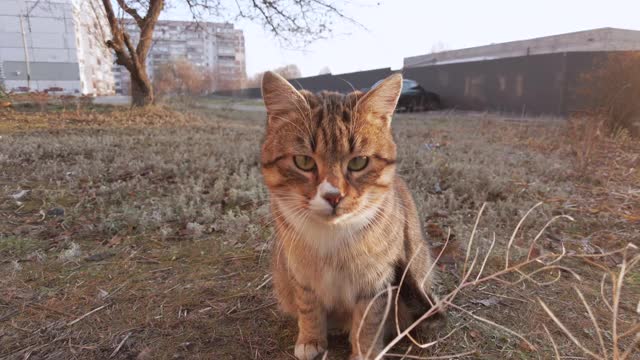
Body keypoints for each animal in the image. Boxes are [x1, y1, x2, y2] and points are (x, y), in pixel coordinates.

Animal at [262, 71, 438, 358]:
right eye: (304, 161)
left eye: (358, 162)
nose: (333, 196)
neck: (331, 236)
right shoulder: (301, 273)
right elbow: (308, 306)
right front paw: (311, 339)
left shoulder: (376, 281)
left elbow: (368, 320)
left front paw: (364, 351)